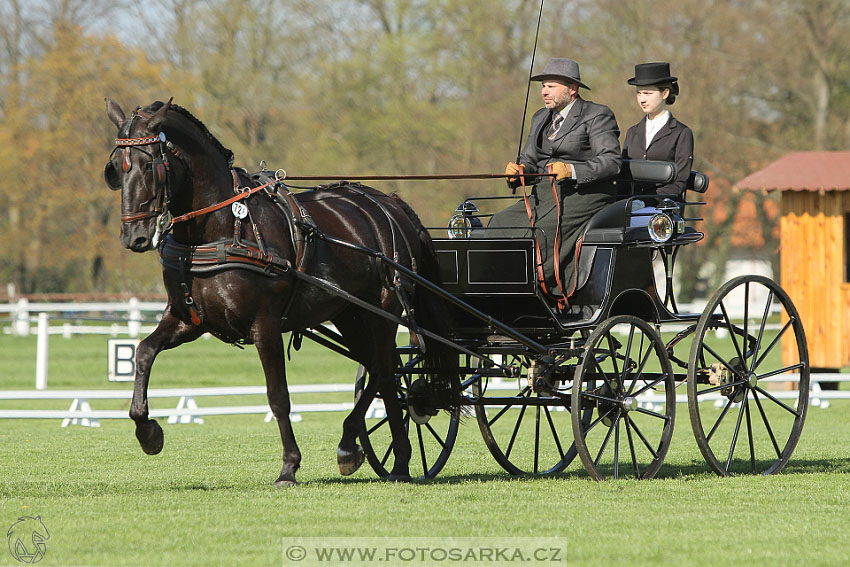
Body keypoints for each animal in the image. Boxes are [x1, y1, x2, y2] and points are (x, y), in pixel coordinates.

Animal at [104, 97, 458, 484]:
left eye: (149, 164)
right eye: (115, 169)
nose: (134, 237)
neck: (222, 228)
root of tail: (390, 204)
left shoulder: (265, 324)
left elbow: (278, 396)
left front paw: (289, 465)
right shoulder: (189, 319)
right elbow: (143, 352)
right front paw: (148, 432)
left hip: (382, 311)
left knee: (383, 369)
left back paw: (369, 450)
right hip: (349, 314)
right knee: (384, 370)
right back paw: (392, 459)